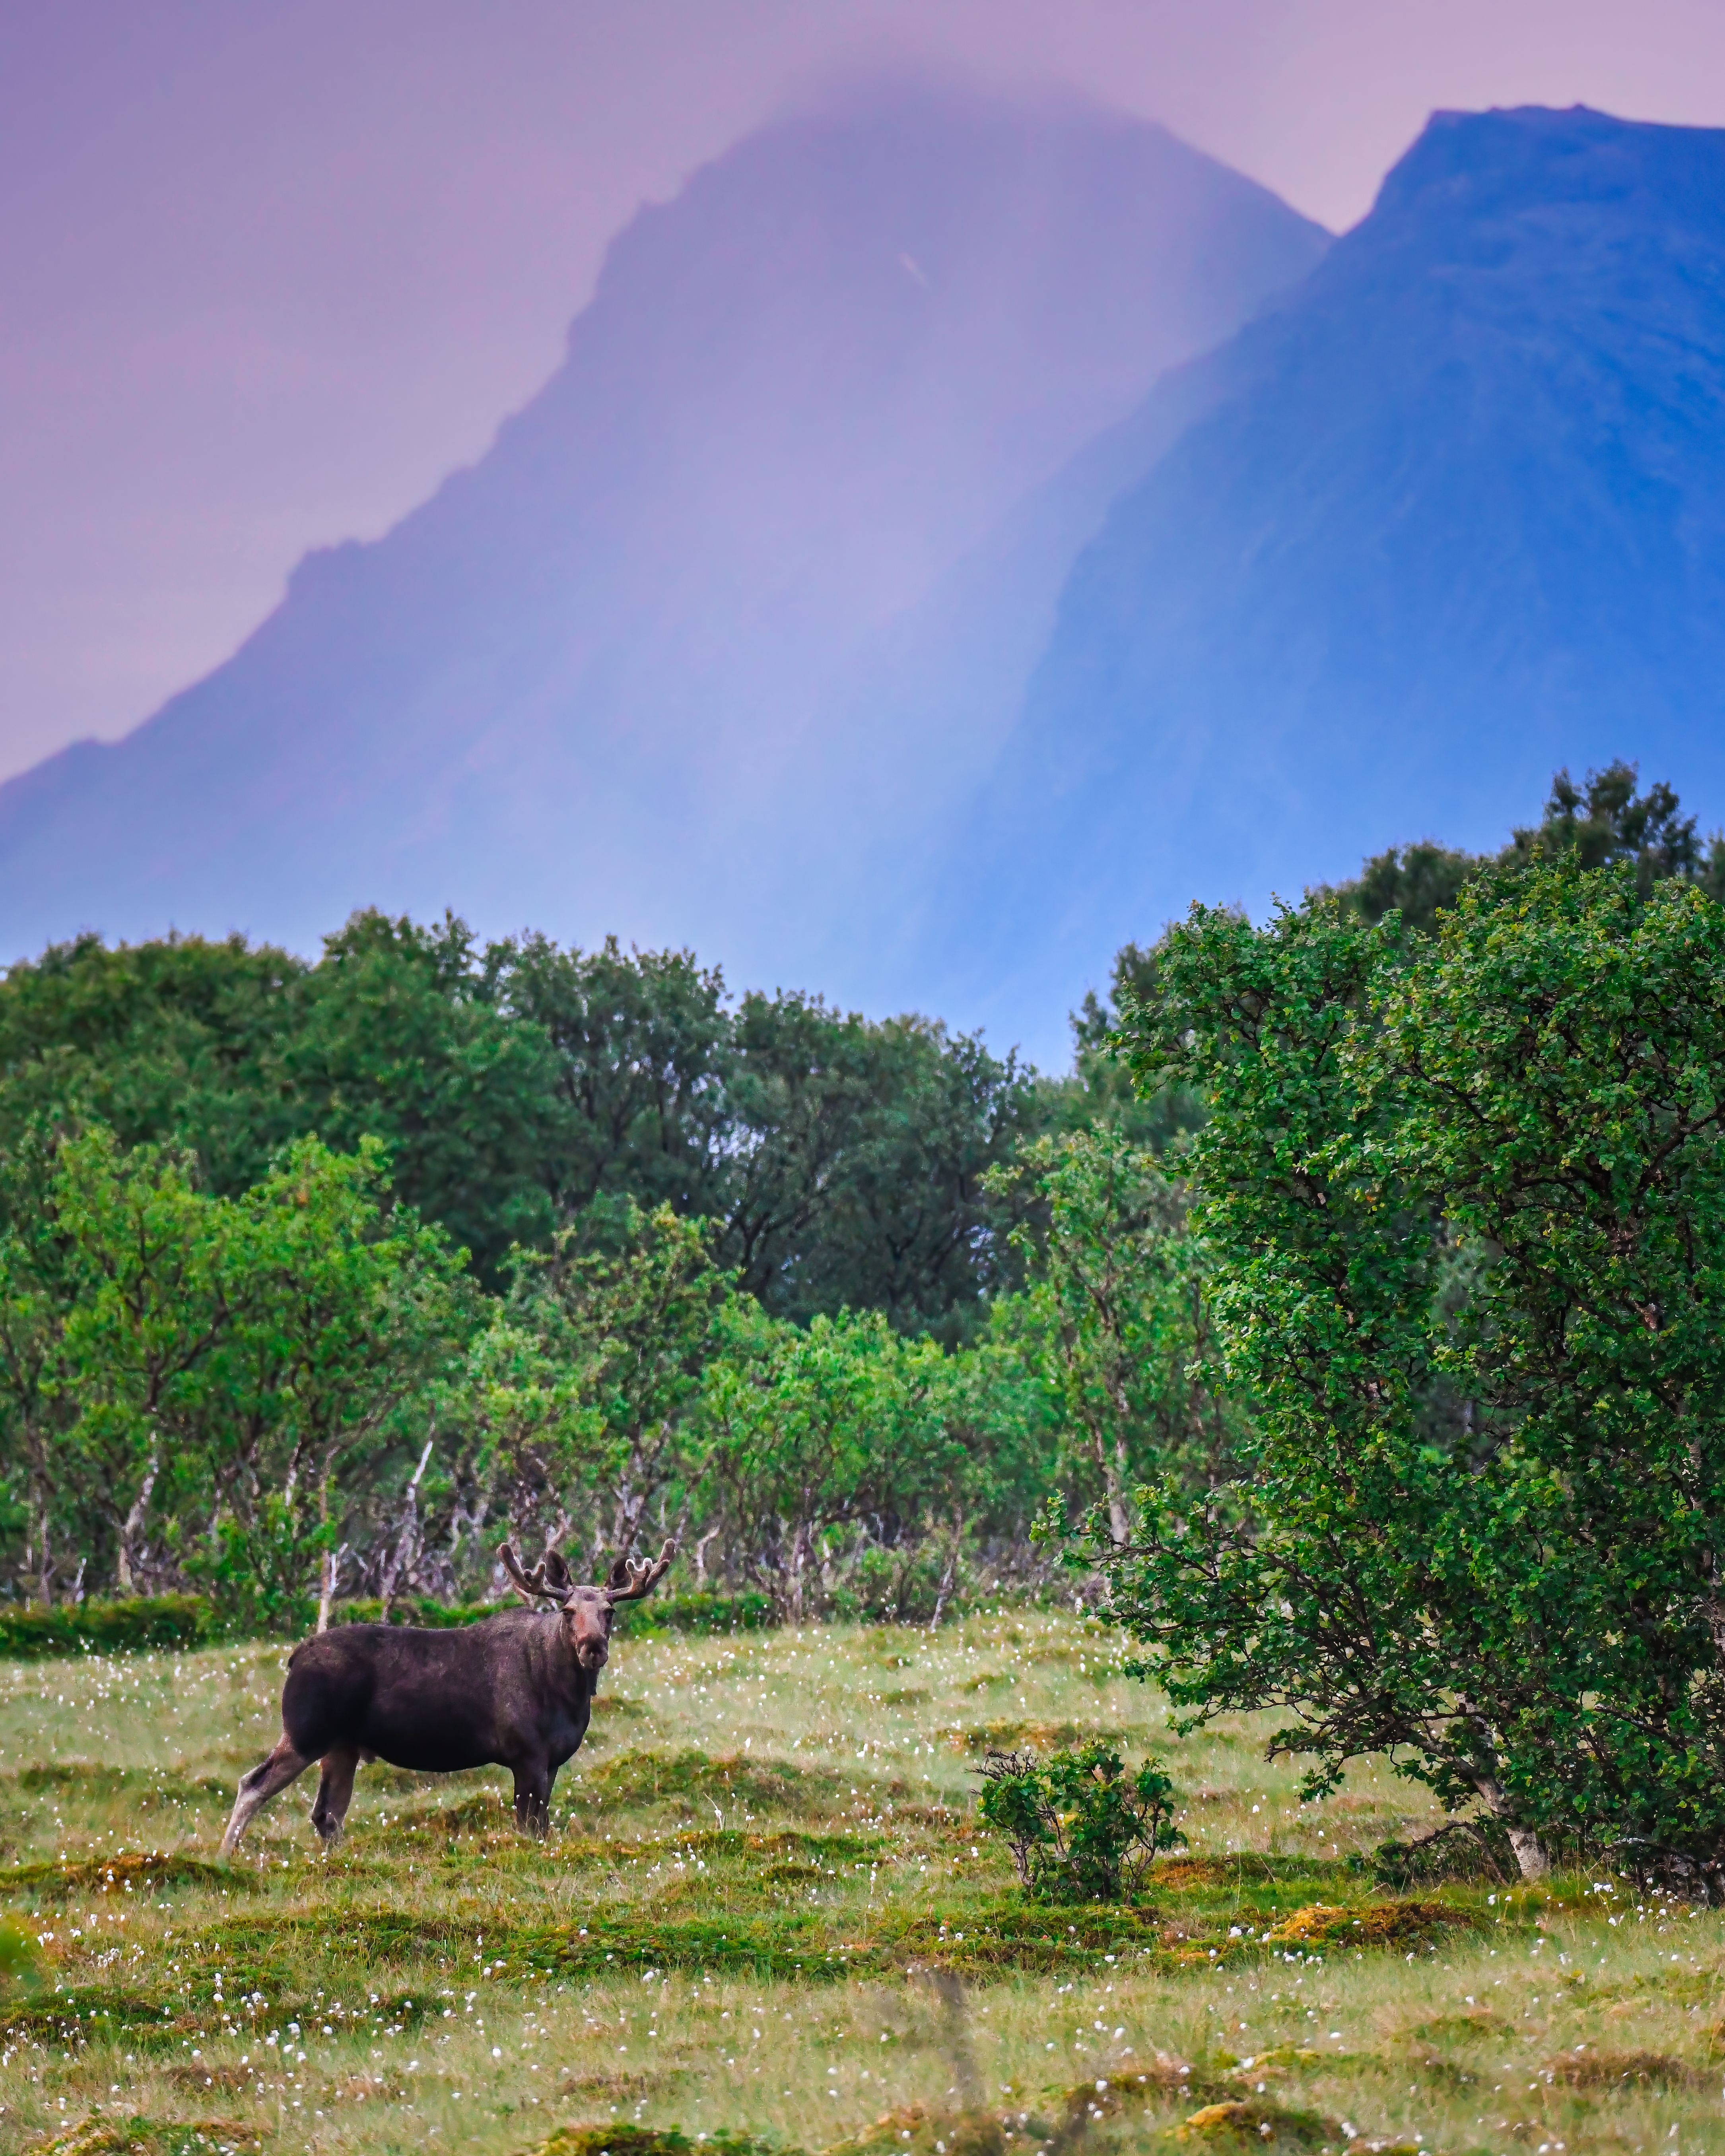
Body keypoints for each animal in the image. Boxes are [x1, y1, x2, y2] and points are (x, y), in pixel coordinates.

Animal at [219, 1539, 676, 1853]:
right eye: (568, 1612)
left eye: (609, 1612)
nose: (593, 1647)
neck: (566, 1695)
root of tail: (295, 1657)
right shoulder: (526, 1753)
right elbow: (530, 1827)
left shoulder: (552, 1760)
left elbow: (542, 1824)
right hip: (306, 1729)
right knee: (253, 1783)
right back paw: (226, 1857)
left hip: (343, 1745)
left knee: (327, 1812)